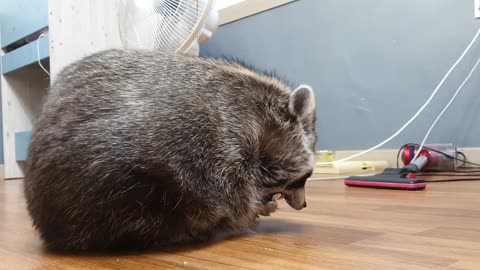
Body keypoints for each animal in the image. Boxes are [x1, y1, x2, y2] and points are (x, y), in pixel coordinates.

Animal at [24, 49, 318, 251]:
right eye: (304, 178)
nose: (304, 204)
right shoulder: (225, 146)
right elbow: (234, 199)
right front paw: (256, 209)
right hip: (115, 189)